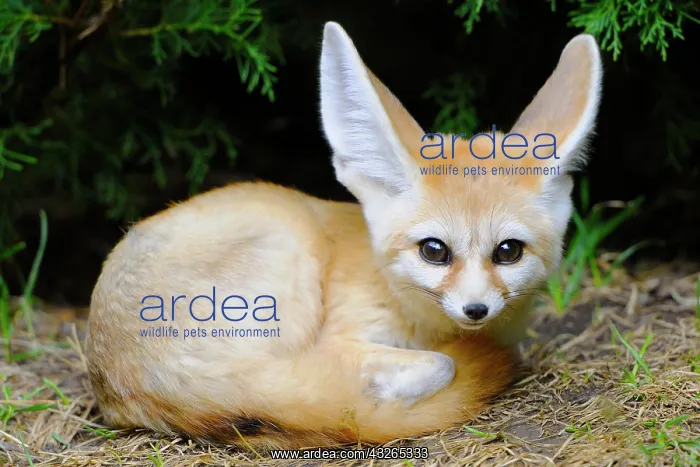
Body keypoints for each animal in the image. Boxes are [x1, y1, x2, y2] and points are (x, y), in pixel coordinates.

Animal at [85, 22, 602, 451]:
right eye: (434, 251)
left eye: (508, 252)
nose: (476, 309)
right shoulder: (338, 339)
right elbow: (444, 363)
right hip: (288, 257)